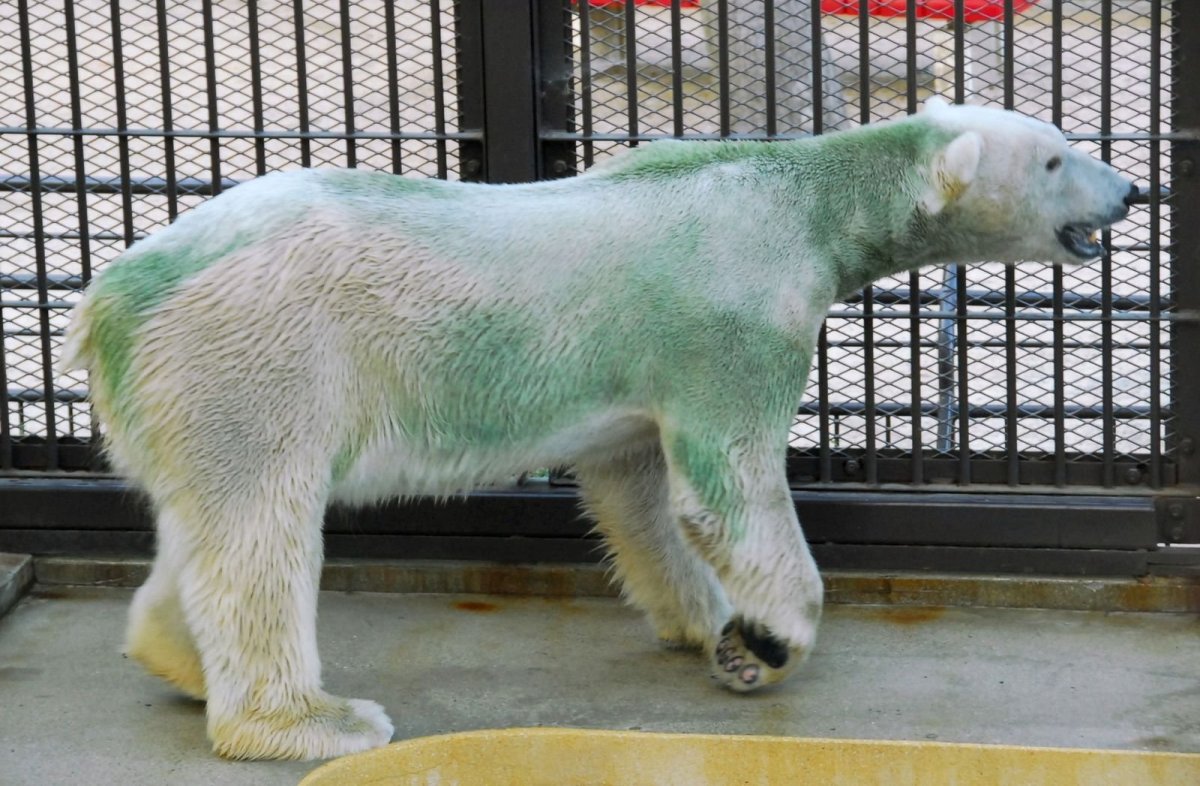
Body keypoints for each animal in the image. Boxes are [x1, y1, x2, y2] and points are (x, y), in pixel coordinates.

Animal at [61, 98, 1137, 760]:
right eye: (1054, 155)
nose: (1129, 190)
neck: (797, 193)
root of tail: (108, 300)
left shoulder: (643, 379)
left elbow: (640, 492)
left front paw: (709, 625)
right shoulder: (737, 319)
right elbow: (729, 483)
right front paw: (765, 642)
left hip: (196, 387)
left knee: (209, 526)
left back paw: (177, 659)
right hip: (262, 354)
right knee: (264, 526)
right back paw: (314, 721)